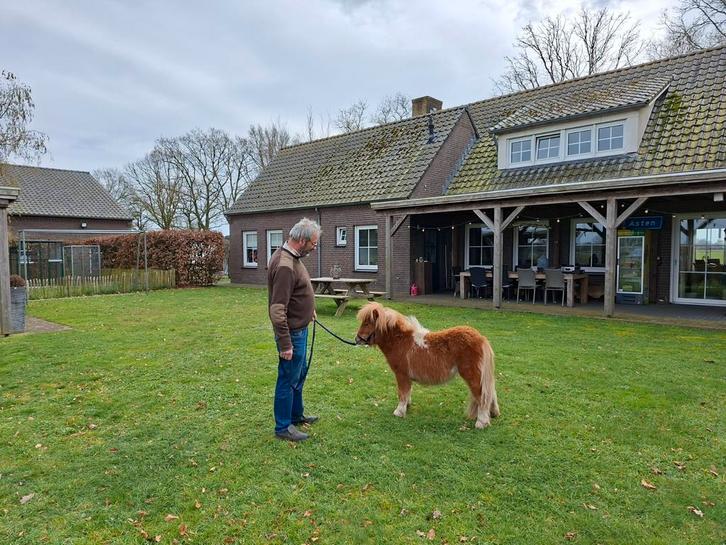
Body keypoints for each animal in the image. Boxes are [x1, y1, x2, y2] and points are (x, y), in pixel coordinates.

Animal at [355, 302, 499, 429]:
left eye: (367, 323)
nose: (357, 340)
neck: (401, 341)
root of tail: (481, 338)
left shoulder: (401, 375)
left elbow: (402, 393)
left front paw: (399, 412)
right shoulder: (407, 377)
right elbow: (407, 392)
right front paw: (407, 406)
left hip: (472, 375)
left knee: (482, 396)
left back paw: (481, 422)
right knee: (490, 392)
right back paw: (493, 414)